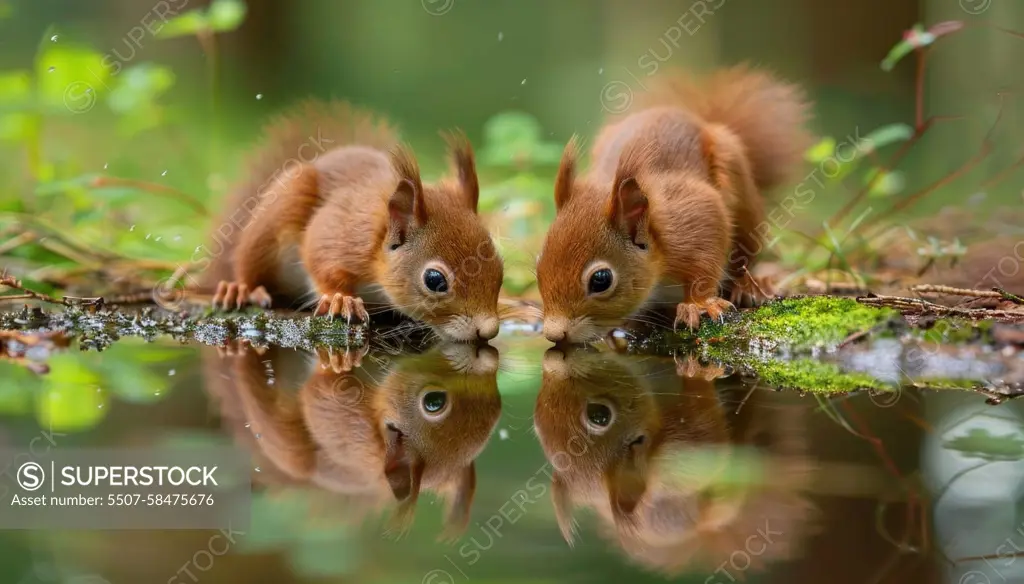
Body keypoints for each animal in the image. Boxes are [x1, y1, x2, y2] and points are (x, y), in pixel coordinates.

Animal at [200, 97, 503, 338]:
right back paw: (238, 289)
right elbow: (319, 258)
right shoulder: (343, 234)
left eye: (500, 267)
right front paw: (340, 299)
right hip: (272, 222)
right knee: (247, 264)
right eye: (435, 280)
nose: (488, 330)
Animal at [536, 66, 815, 344]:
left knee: (746, 258)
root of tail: (700, 121)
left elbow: (706, 260)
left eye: (601, 280)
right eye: (538, 264)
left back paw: (749, 286)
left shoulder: (695, 216)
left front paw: (699, 304)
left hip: (742, 198)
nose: (554, 333)